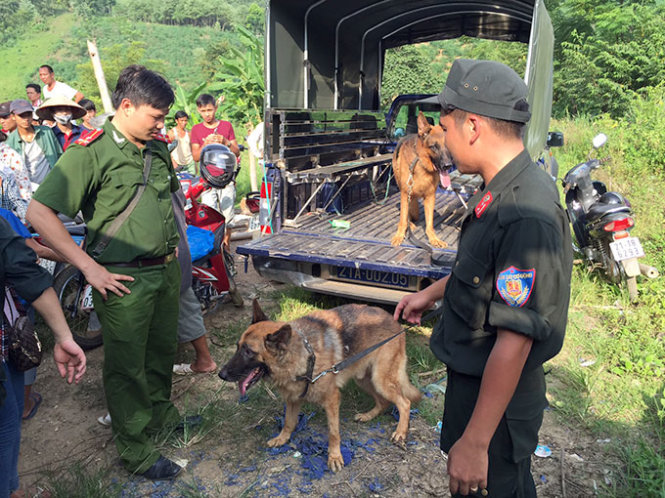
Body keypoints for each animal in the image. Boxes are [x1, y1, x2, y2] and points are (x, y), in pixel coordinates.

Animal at [220, 300, 422, 470]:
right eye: (237, 347)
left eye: (248, 352)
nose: (221, 374)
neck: (302, 357)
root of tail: (395, 322)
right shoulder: (293, 399)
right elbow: (288, 422)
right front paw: (282, 439)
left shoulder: (332, 400)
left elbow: (333, 432)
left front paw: (334, 456)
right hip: (364, 379)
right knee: (383, 402)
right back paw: (367, 416)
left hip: (380, 380)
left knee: (404, 402)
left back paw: (400, 432)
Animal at [392, 111, 454, 247]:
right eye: (434, 147)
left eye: (448, 146)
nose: (447, 165)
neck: (420, 163)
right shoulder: (405, 193)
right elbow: (403, 219)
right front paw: (399, 235)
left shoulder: (430, 197)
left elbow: (429, 223)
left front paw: (433, 238)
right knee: (406, 215)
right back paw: (409, 225)